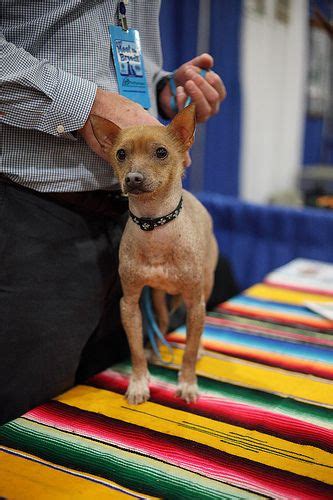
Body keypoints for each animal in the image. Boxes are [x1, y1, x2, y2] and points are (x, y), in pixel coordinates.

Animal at [90, 104, 218, 402]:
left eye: (161, 152)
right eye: (121, 154)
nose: (133, 178)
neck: (155, 225)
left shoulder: (195, 304)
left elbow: (189, 351)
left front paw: (187, 382)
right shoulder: (129, 304)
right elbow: (135, 349)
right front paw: (138, 382)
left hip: (205, 286)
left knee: (196, 333)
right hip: (158, 296)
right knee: (162, 320)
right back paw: (156, 349)